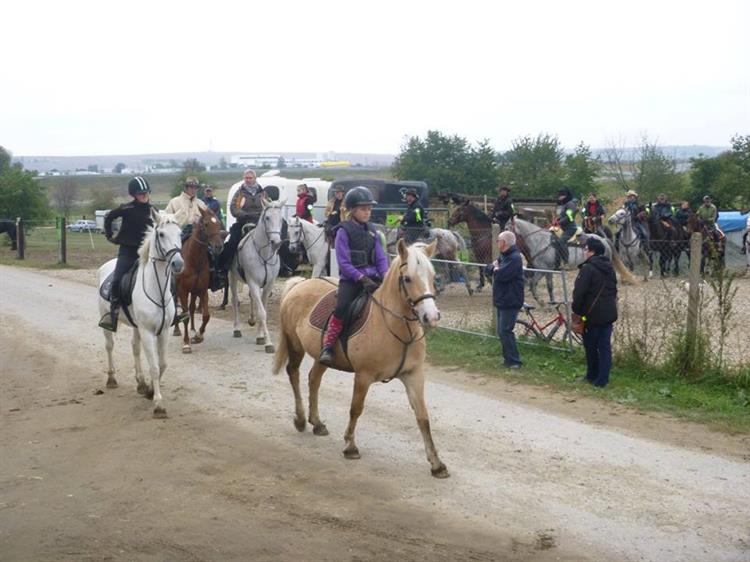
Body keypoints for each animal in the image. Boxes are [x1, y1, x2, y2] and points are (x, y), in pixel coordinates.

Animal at [97, 210, 185, 416]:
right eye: (161, 234)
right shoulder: (148, 332)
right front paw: (158, 404)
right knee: (109, 346)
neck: (157, 288)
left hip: (136, 327)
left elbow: (162, 364)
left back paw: (140, 382)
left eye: (180, 233)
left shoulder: (163, 331)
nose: (178, 263)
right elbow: (154, 366)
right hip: (109, 322)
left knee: (134, 348)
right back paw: (111, 379)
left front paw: (150, 390)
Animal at [176, 208, 223, 352]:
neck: (194, 260)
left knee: (191, 308)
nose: (218, 246)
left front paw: (198, 335)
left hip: (194, 292)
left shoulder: (202, 290)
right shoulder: (182, 291)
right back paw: (176, 330)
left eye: (218, 223)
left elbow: (206, 315)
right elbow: (184, 315)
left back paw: (192, 329)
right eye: (206, 224)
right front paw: (186, 343)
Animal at [229, 198, 284, 350]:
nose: (276, 242)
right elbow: (262, 313)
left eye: (281, 219)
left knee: (251, 298)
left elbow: (263, 309)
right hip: (232, 277)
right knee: (235, 300)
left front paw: (260, 336)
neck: (263, 255)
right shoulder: (253, 283)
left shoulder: (268, 285)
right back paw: (237, 329)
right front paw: (269, 343)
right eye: (267, 217)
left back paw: (251, 320)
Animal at [272, 240, 452, 476]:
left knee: (313, 379)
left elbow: (423, 417)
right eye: (407, 278)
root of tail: (300, 284)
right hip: (295, 346)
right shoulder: (363, 376)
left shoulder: (413, 375)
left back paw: (317, 423)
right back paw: (301, 419)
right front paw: (350, 446)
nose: (431, 317)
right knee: (293, 374)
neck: (394, 327)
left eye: (432, 276)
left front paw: (436, 463)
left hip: (321, 357)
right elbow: (356, 409)